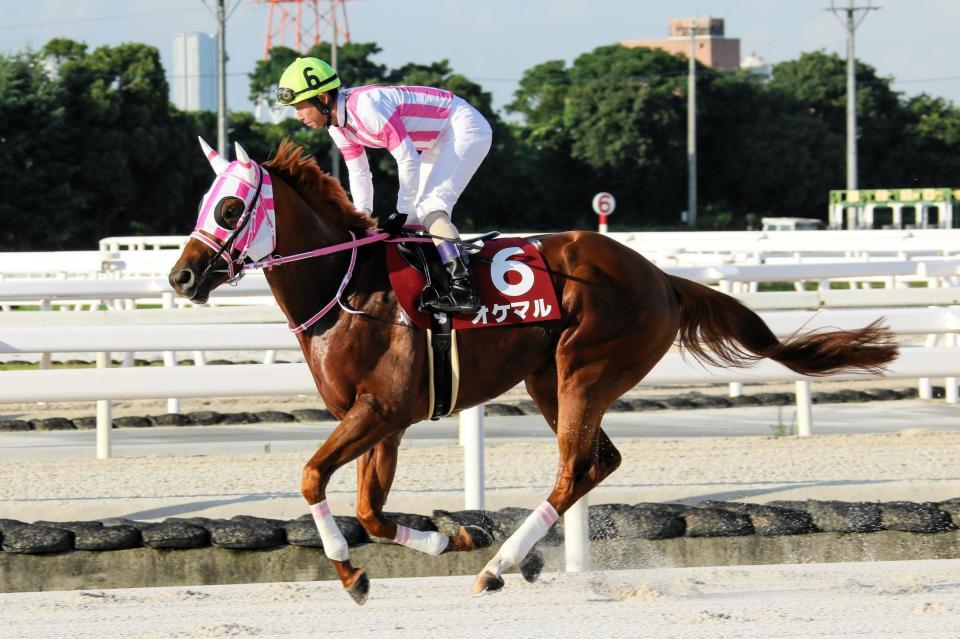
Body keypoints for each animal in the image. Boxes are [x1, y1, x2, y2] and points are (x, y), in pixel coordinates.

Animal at [169, 138, 898, 604]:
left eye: (230, 208)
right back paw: (509, 557)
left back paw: (500, 566)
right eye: (203, 202)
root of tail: (661, 277)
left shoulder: (381, 411)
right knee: (599, 463)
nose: (181, 276)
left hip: (585, 368)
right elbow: (371, 511)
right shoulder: (385, 421)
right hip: (549, 379)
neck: (351, 287)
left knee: (574, 467)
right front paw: (454, 536)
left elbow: (311, 476)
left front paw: (353, 575)